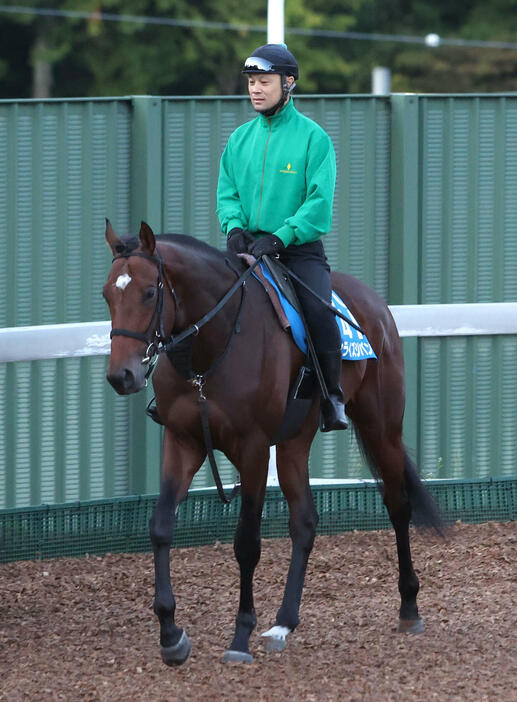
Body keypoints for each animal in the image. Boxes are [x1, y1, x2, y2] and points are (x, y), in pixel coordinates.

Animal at [102, 223, 440, 668]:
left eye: (148, 293)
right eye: (107, 294)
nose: (121, 376)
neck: (216, 341)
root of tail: (376, 304)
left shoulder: (254, 449)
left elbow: (247, 543)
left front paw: (239, 637)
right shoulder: (183, 442)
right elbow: (160, 526)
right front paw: (171, 634)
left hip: (381, 426)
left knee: (398, 505)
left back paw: (409, 608)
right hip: (295, 442)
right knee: (305, 522)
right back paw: (283, 623)